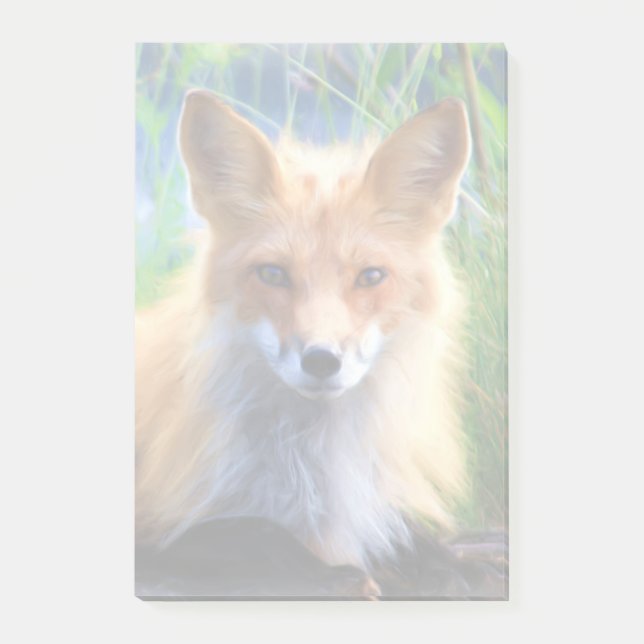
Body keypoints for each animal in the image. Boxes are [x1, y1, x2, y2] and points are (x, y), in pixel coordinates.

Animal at [135, 89, 499, 598]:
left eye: (370, 276)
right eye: (272, 274)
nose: (322, 360)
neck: (312, 464)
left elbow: (407, 534)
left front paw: (450, 565)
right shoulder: (157, 532)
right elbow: (246, 530)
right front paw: (329, 575)